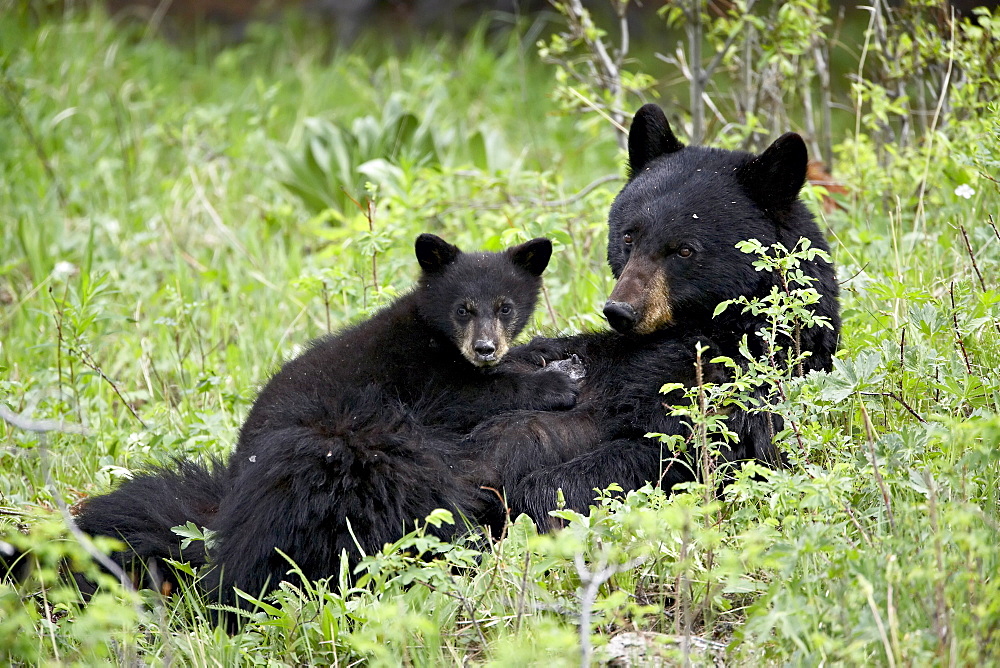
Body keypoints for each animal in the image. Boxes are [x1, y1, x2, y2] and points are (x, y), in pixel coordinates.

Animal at [70, 234, 576, 604]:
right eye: (463, 308)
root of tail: (231, 489)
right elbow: (466, 396)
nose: (485, 348)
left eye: (506, 307)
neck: (437, 339)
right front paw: (555, 383)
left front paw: (542, 354)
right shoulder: (421, 376)